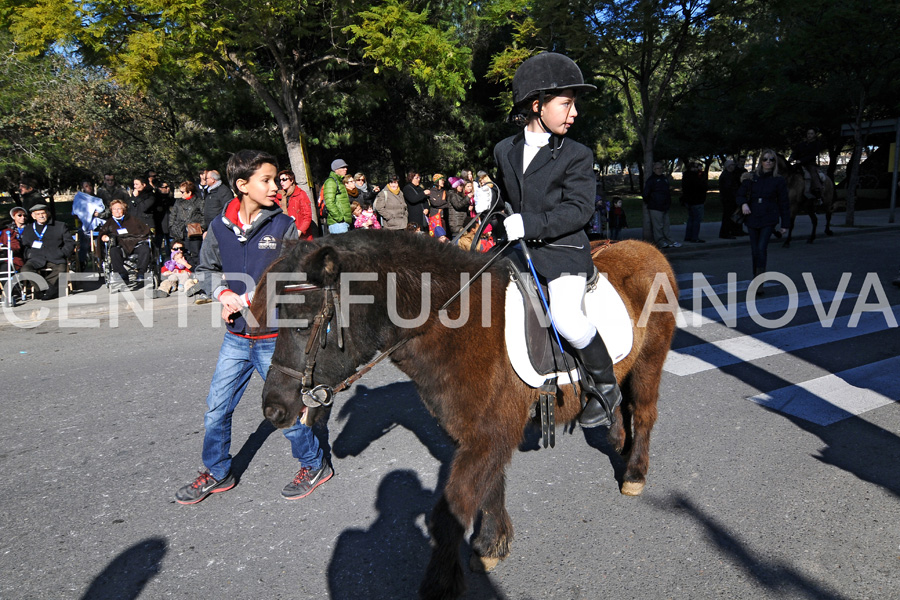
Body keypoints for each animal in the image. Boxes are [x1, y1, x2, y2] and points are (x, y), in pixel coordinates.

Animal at [250, 230, 680, 600]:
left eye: (303, 320)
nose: (274, 408)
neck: (455, 324)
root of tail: (644, 247)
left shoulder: (489, 435)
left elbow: (450, 511)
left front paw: (441, 584)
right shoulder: (478, 435)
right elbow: (489, 488)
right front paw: (492, 544)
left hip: (649, 362)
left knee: (643, 413)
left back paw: (635, 472)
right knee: (620, 403)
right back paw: (615, 437)